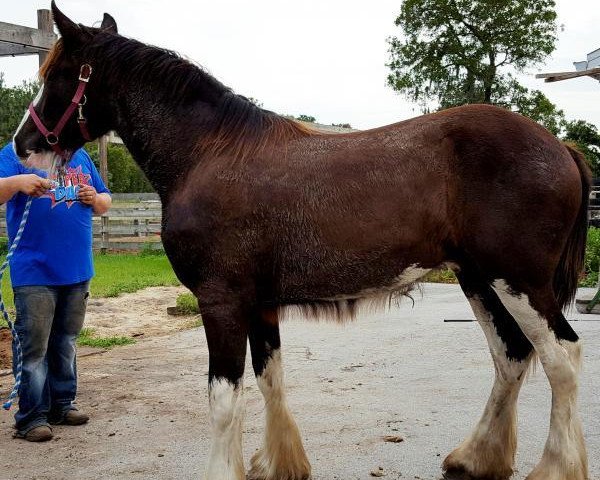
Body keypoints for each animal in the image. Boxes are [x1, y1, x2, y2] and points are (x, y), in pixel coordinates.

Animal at [12, 3, 592, 480]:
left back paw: (554, 467)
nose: (23, 145)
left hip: (519, 281)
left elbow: (224, 399)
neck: (210, 153)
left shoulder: (221, 302)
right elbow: (270, 379)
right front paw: (279, 464)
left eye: (56, 74)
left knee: (562, 358)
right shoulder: (259, 304)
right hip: (479, 280)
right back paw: (475, 458)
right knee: (511, 356)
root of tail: (558, 146)